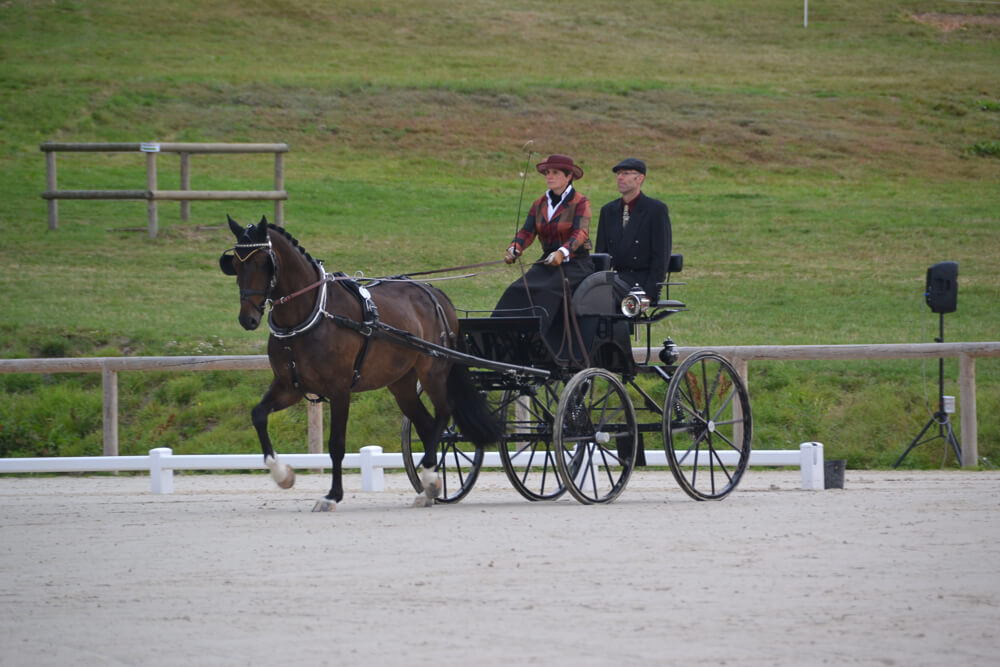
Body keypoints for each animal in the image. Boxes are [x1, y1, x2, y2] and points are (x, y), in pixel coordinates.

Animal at [219, 214, 500, 512]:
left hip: (433, 370)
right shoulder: (289, 387)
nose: (247, 319)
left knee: (444, 413)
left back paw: (429, 475)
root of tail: (434, 292)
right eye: (235, 264)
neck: (311, 315)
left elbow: (336, 444)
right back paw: (430, 486)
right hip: (401, 382)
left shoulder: (339, 389)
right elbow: (258, 415)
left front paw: (332, 495)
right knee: (426, 424)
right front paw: (283, 475)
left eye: (263, 262)